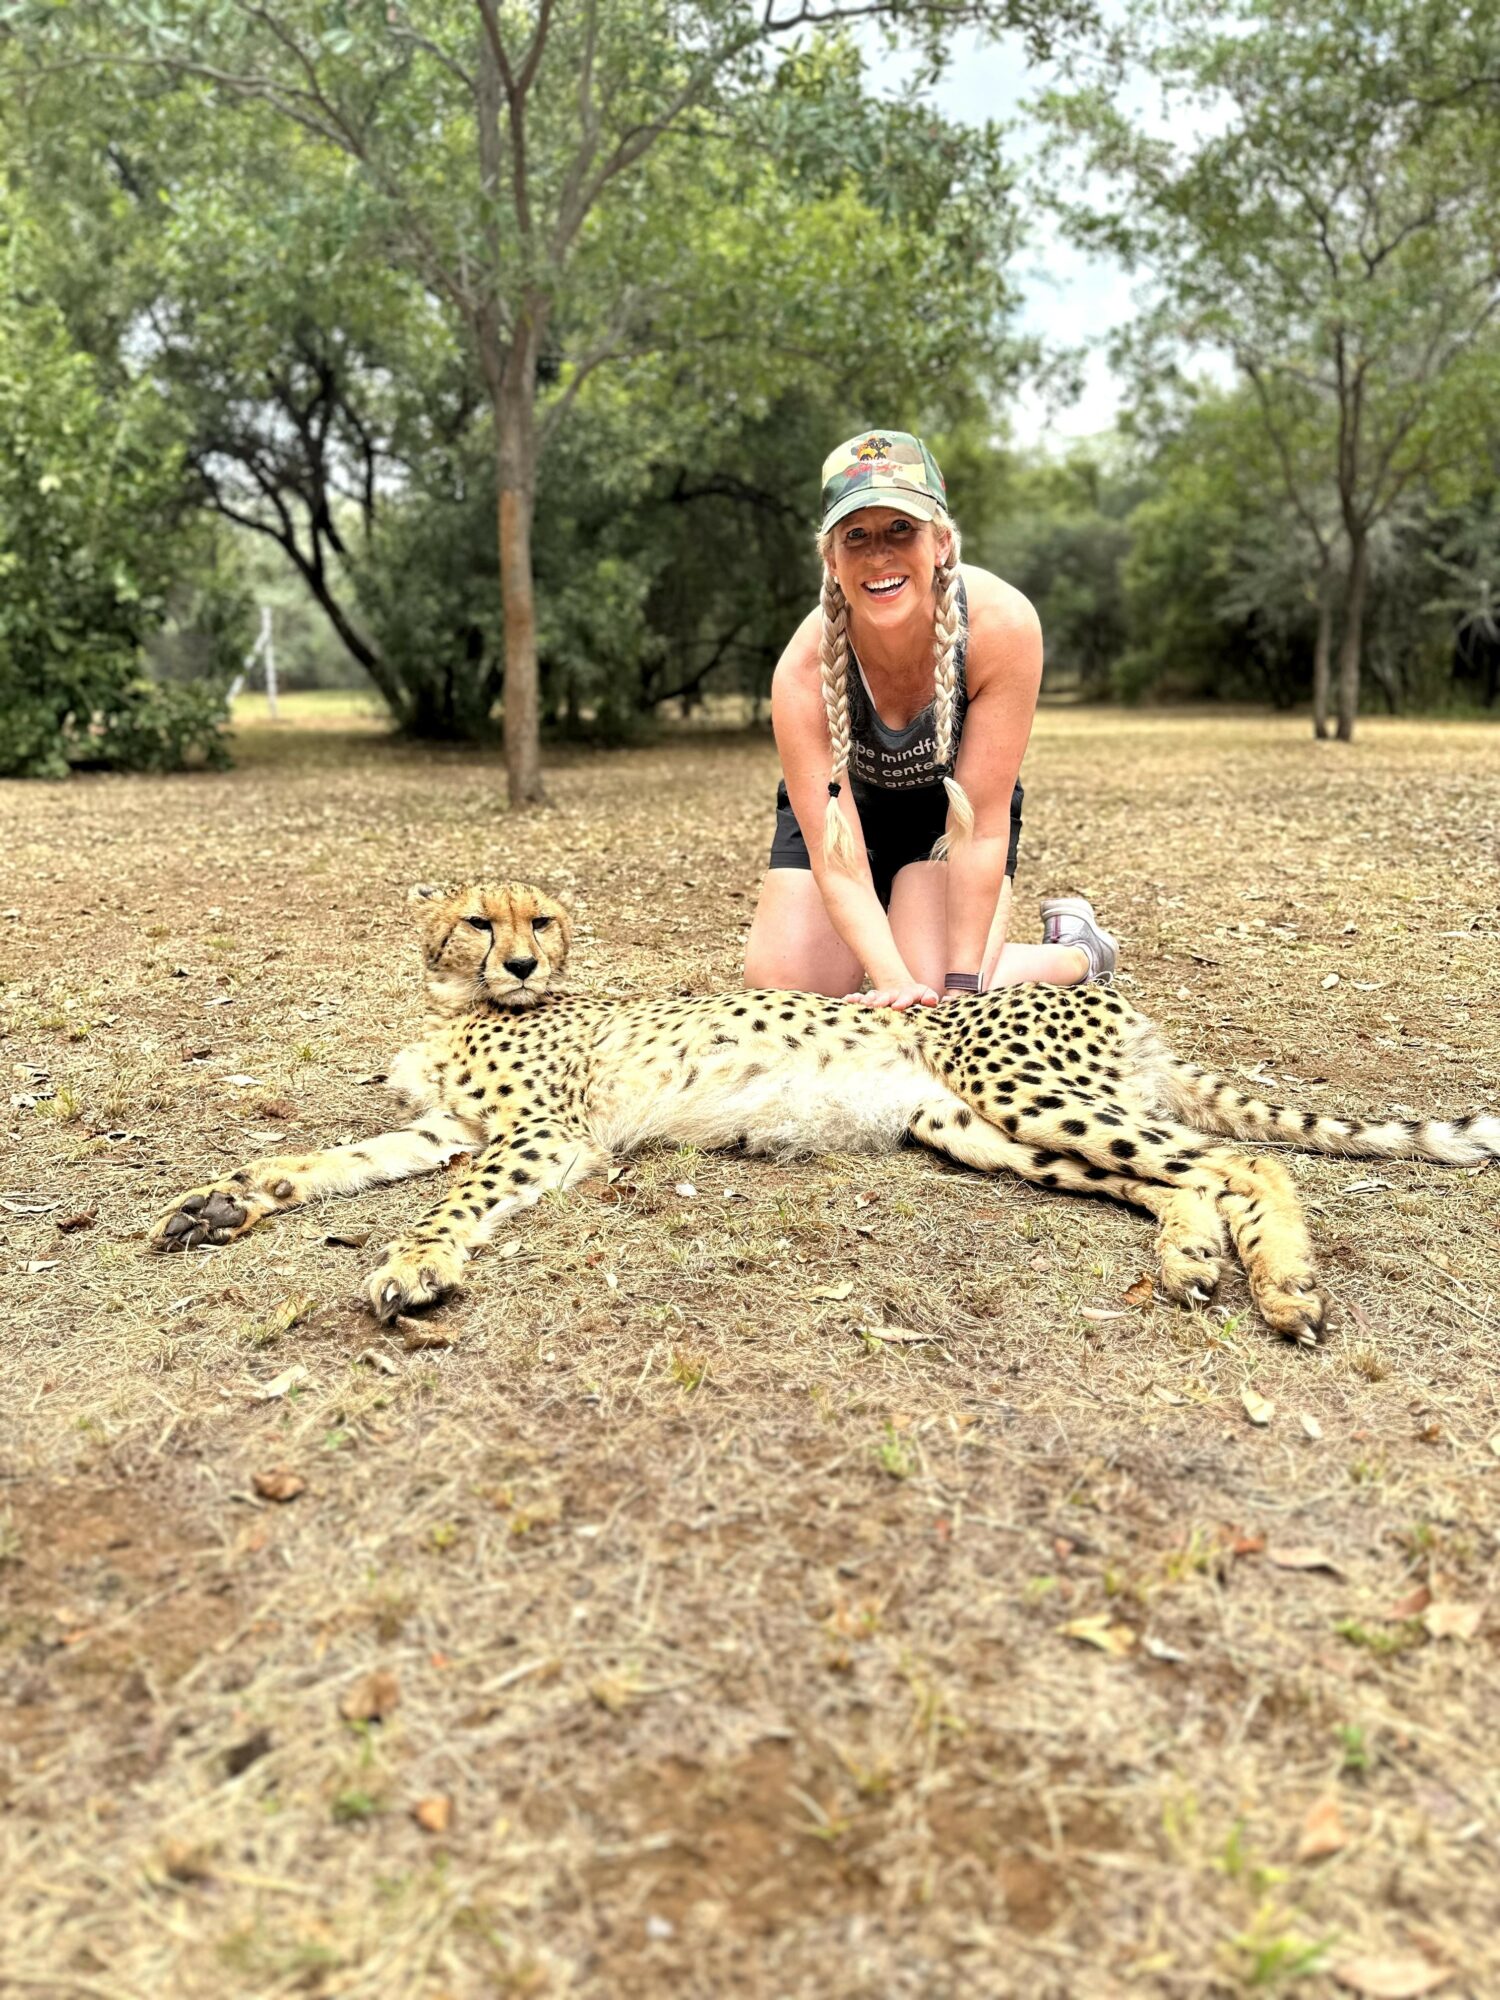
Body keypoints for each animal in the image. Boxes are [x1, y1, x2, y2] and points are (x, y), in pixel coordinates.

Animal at [150, 880, 1500, 1344]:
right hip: (983, 1128)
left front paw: (414, 1266)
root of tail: (1109, 998)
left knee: (1240, 1162)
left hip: (1020, 1088)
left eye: (541, 921)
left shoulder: (538, 1139)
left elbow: (447, 1207)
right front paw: (220, 1200)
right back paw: (1187, 1258)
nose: (524, 965)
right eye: (480, 921)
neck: (459, 1001)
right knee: (1175, 1177)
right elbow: (323, 1158)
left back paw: (1286, 1286)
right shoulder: (444, 1130)